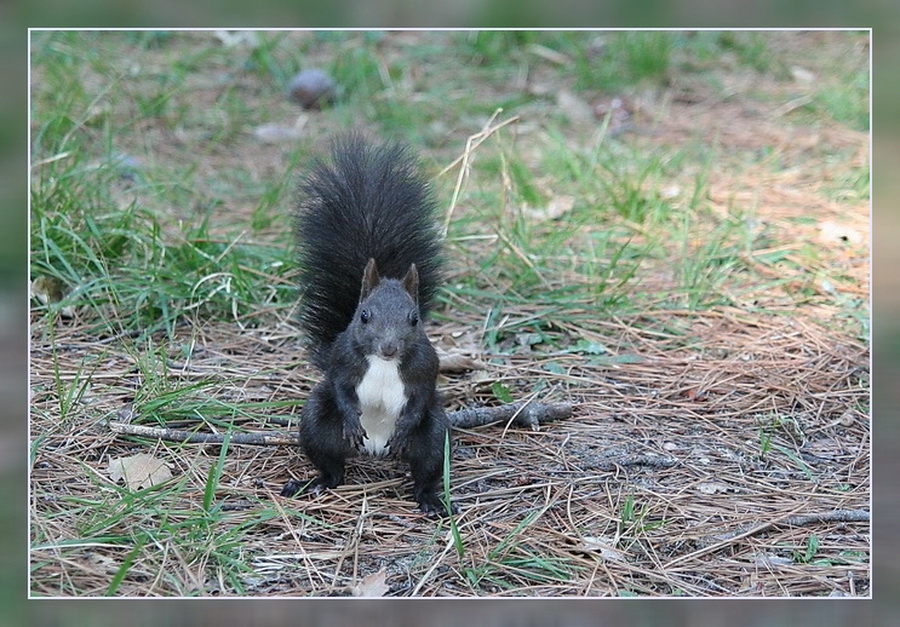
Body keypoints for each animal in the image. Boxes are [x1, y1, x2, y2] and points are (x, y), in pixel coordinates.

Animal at [278, 134, 454, 516]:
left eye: (414, 319)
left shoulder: (425, 368)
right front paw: (350, 417)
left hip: (434, 436)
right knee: (332, 467)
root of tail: (374, 451)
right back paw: (313, 483)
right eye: (363, 315)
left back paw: (429, 498)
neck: (385, 364)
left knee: (426, 467)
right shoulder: (342, 361)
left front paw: (404, 427)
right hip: (316, 423)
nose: (388, 347)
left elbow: (420, 397)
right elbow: (342, 388)